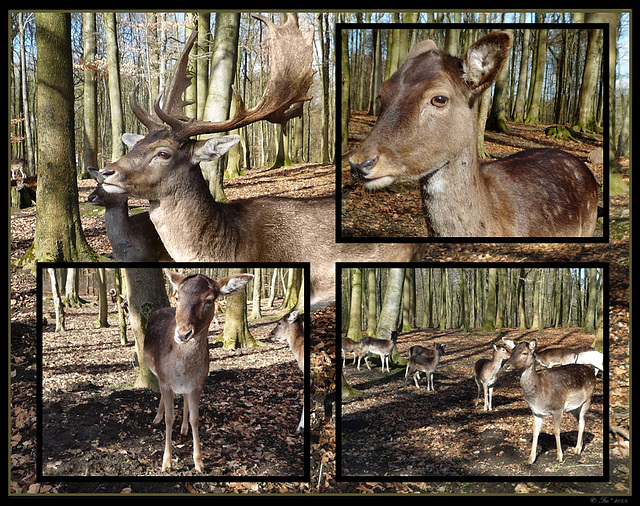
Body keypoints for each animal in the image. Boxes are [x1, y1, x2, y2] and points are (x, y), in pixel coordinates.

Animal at [145, 268, 252, 470]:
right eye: (177, 297)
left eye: (209, 300)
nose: (182, 334)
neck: (181, 373)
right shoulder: (165, 381)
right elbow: (169, 418)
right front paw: (166, 463)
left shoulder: (198, 383)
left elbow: (195, 418)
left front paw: (199, 462)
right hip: (156, 371)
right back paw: (156, 418)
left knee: (185, 399)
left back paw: (184, 428)